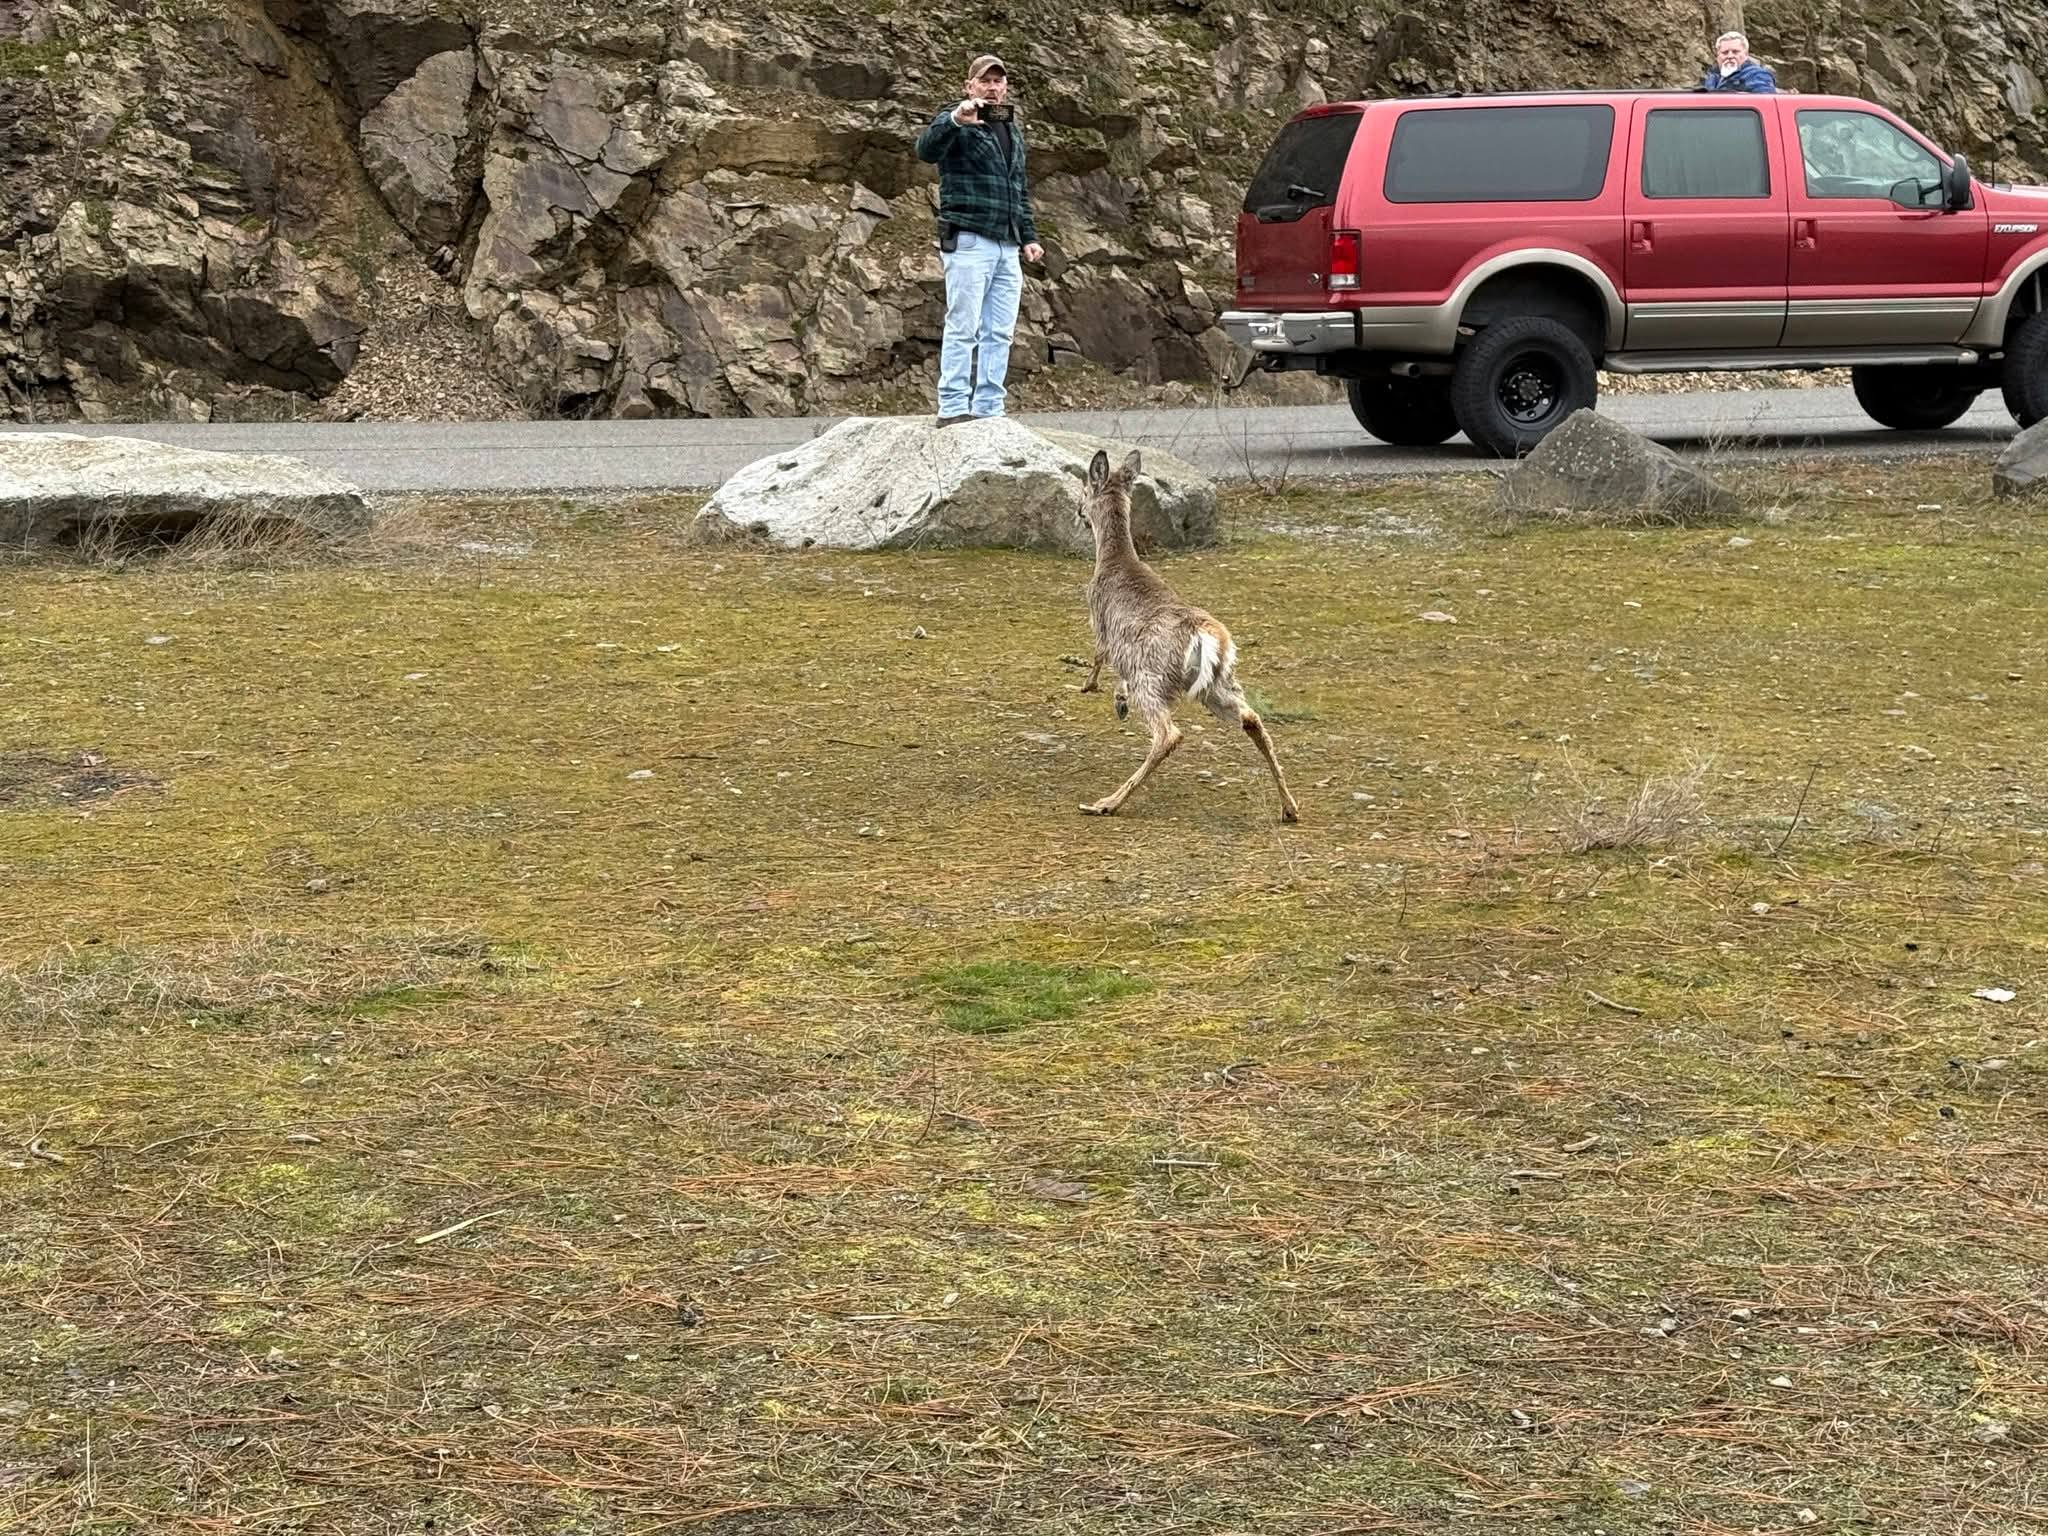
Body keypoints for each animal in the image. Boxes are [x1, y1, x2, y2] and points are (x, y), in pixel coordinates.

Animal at [1071, 448, 1300, 824]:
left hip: (1153, 676)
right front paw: (1117, 701)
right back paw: (1290, 807)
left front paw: (1094, 689)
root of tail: (1210, 637)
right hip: (1217, 684)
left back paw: (1106, 802)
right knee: (1252, 719)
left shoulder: (1100, 621)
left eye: (1084, 490)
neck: (1114, 561)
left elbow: (1099, 656)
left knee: (1168, 734)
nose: (1078, 511)